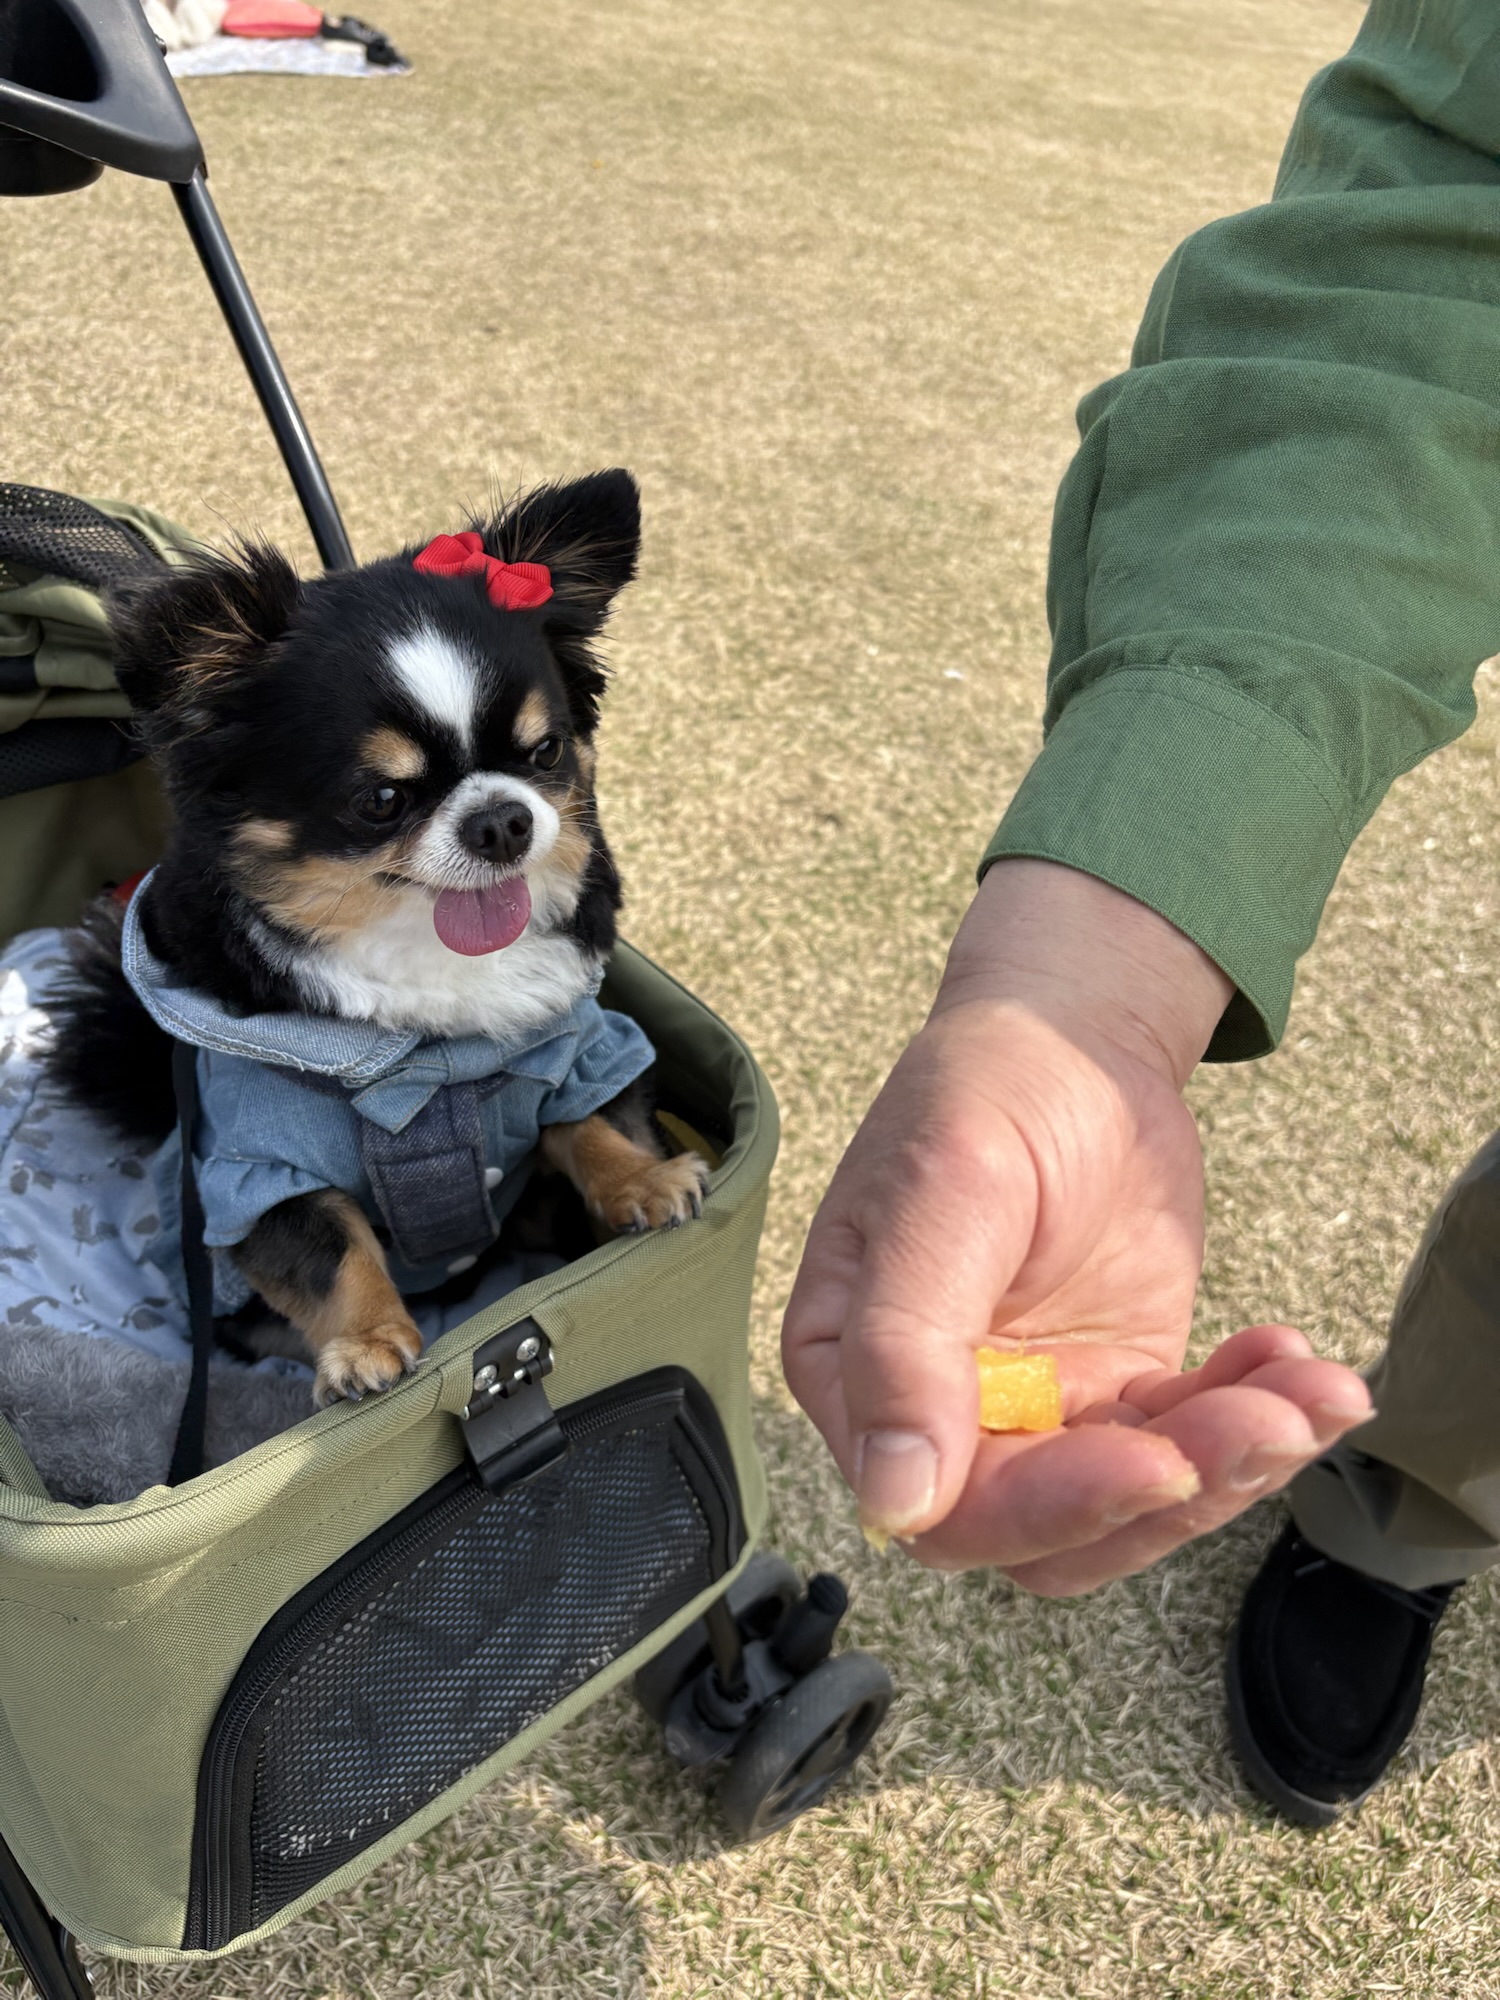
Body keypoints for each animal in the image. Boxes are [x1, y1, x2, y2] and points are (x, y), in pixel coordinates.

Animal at [45, 468, 707, 1407]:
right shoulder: (256, 1169)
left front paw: (645, 1181)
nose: (504, 819)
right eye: (381, 801)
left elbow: (590, 1123)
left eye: (545, 752)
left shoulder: (584, 1046)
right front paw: (364, 1344)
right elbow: (328, 1247)